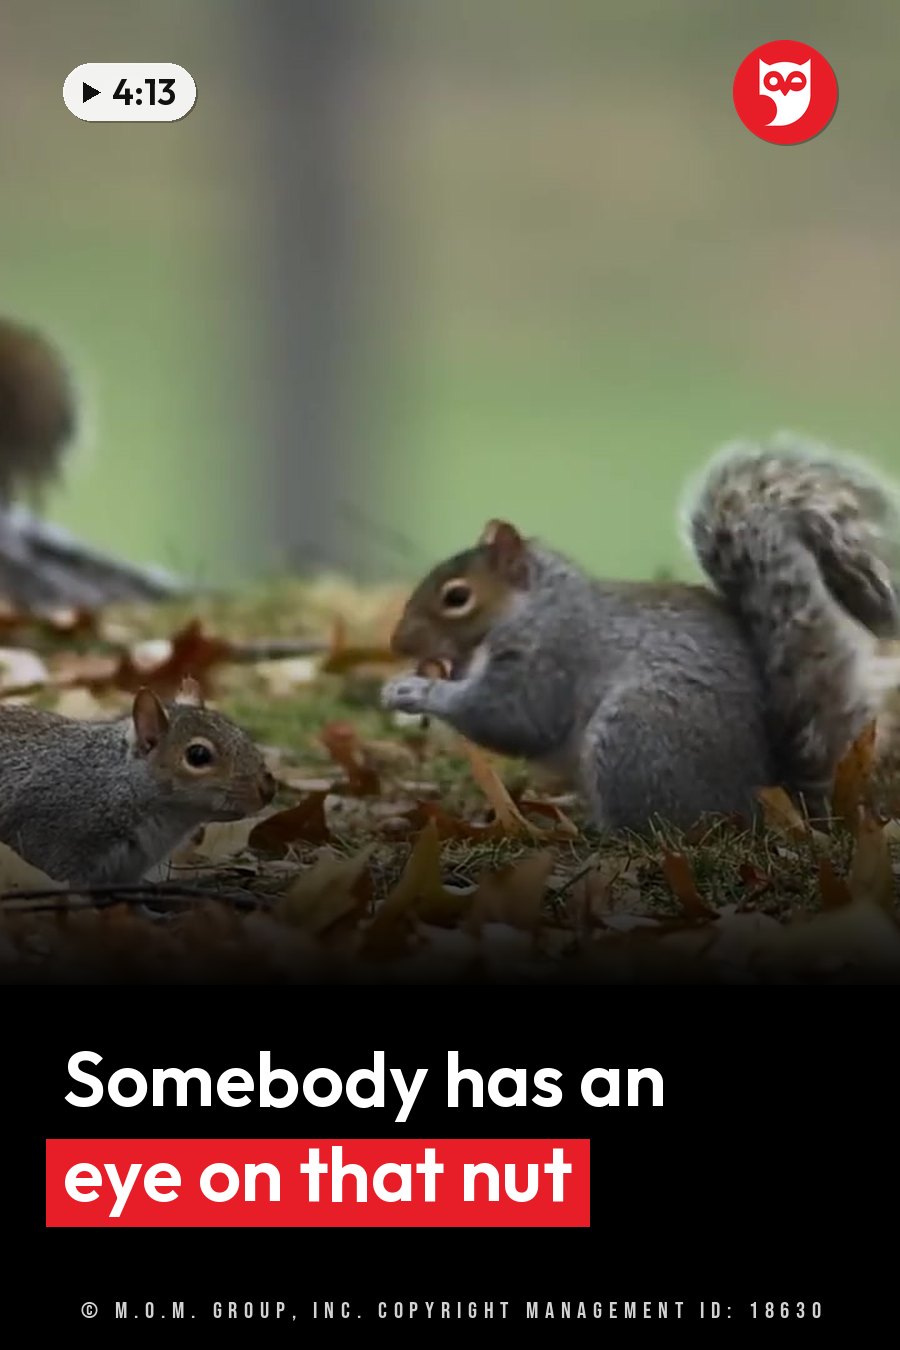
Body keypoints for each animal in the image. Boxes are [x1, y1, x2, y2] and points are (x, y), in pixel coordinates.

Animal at [381, 436, 900, 832]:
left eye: (456, 597)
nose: (398, 644)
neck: (532, 604)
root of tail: (769, 796)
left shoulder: (553, 655)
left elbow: (512, 717)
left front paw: (416, 690)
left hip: (633, 736)